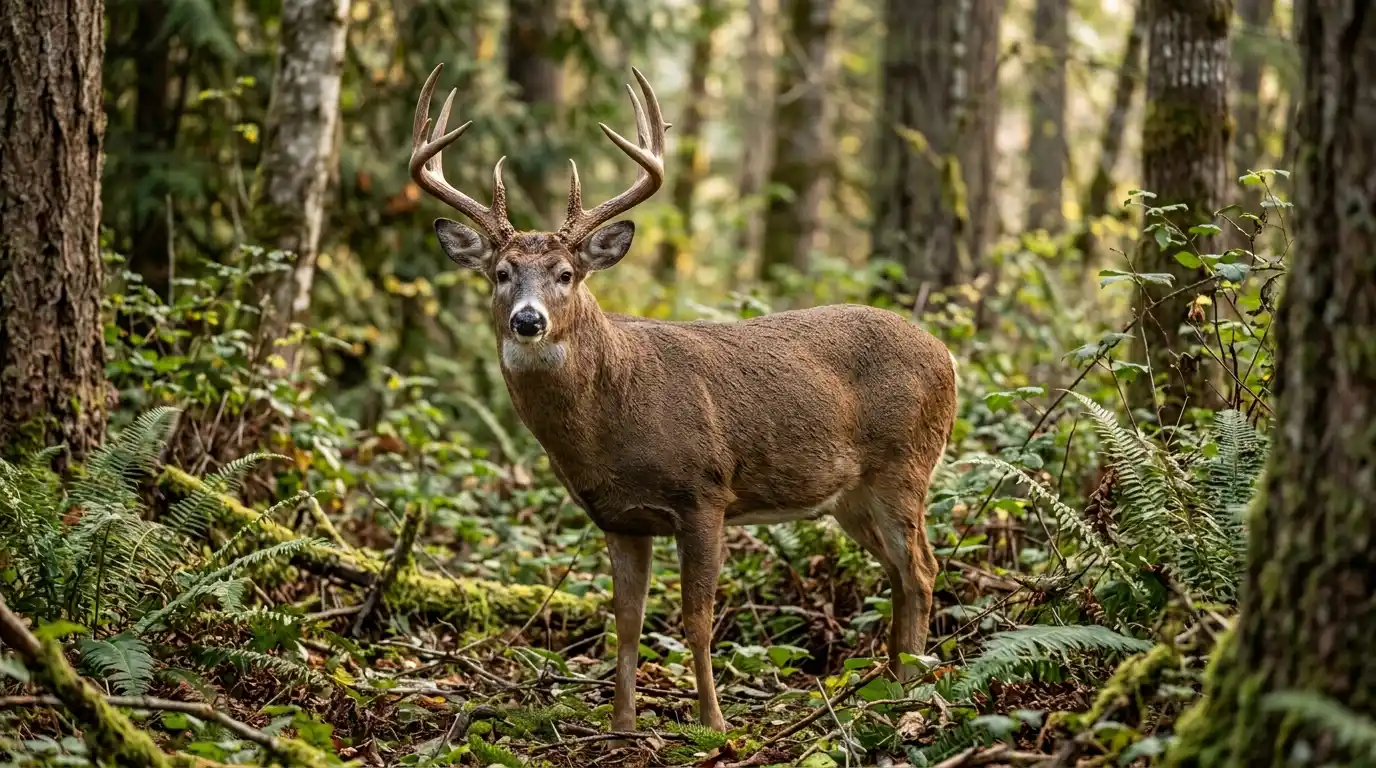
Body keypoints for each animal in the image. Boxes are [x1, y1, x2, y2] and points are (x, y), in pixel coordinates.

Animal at [409, 63, 959, 732]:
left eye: (566, 274)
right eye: (501, 273)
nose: (528, 321)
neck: (614, 414)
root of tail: (947, 354)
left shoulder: (705, 494)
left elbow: (697, 619)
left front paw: (713, 723)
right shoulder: (618, 517)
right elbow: (626, 622)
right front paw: (622, 725)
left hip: (905, 465)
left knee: (923, 569)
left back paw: (910, 693)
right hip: (850, 496)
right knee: (899, 574)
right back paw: (890, 686)